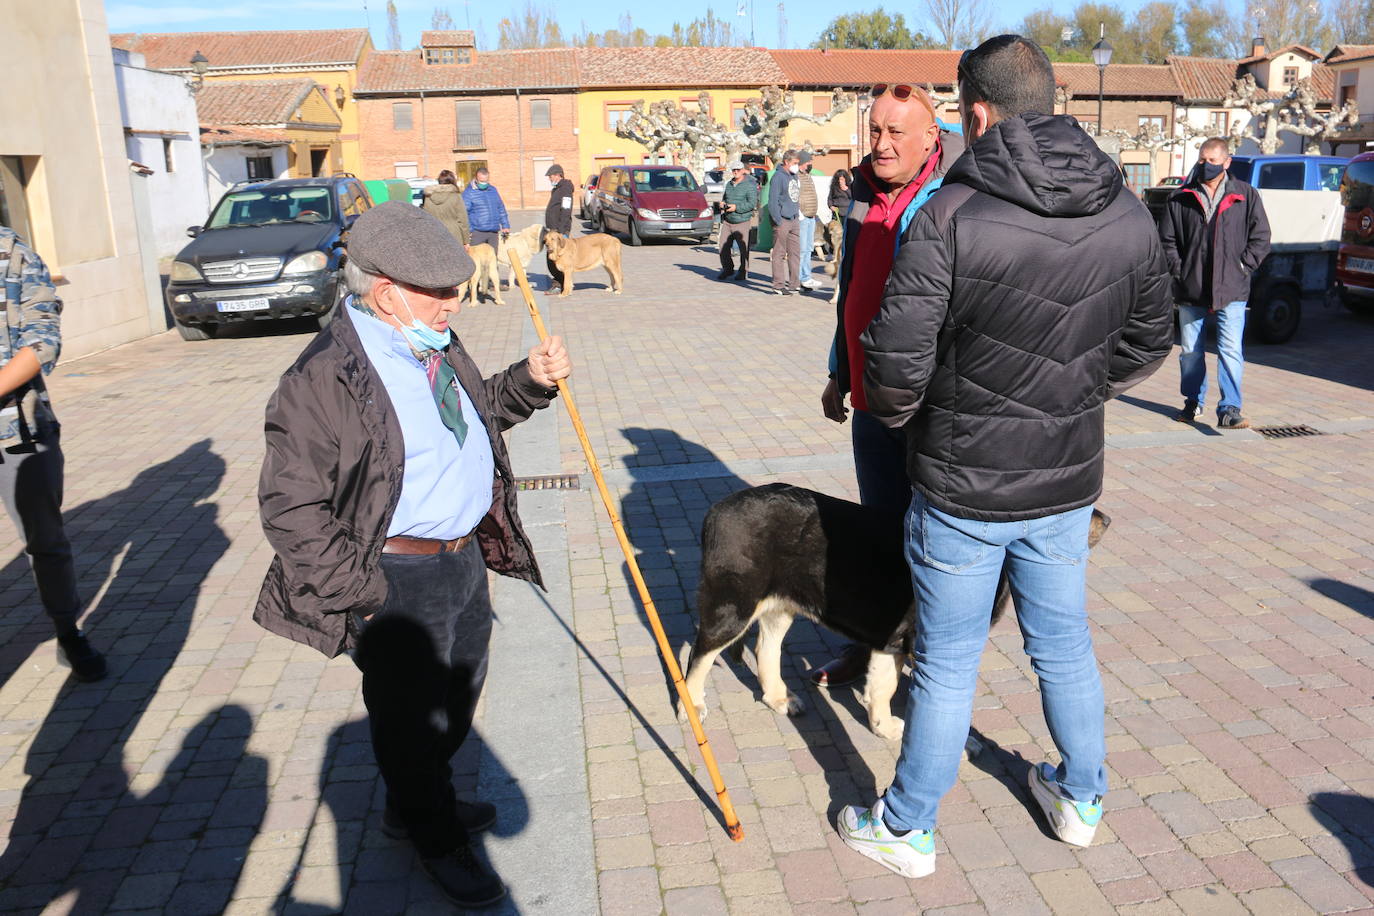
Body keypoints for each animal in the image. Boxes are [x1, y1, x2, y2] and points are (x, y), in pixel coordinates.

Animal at [681, 483, 1110, 747]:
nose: (1106, 520)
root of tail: (714, 512)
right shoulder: (926, 643)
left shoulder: (892, 641)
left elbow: (882, 687)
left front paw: (882, 726)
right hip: (732, 605)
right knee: (699, 655)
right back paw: (694, 707)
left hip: (779, 604)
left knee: (765, 648)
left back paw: (779, 699)